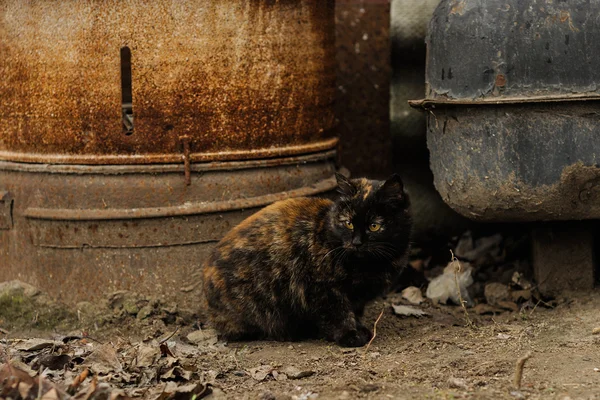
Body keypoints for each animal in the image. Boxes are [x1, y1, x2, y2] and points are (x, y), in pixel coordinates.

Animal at [202, 173, 412, 346]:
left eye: (374, 226)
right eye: (348, 223)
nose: (357, 242)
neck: (369, 265)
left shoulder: (357, 297)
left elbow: (355, 311)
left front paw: (359, 329)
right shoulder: (322, 288)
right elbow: (339, 314)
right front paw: (349, 336)